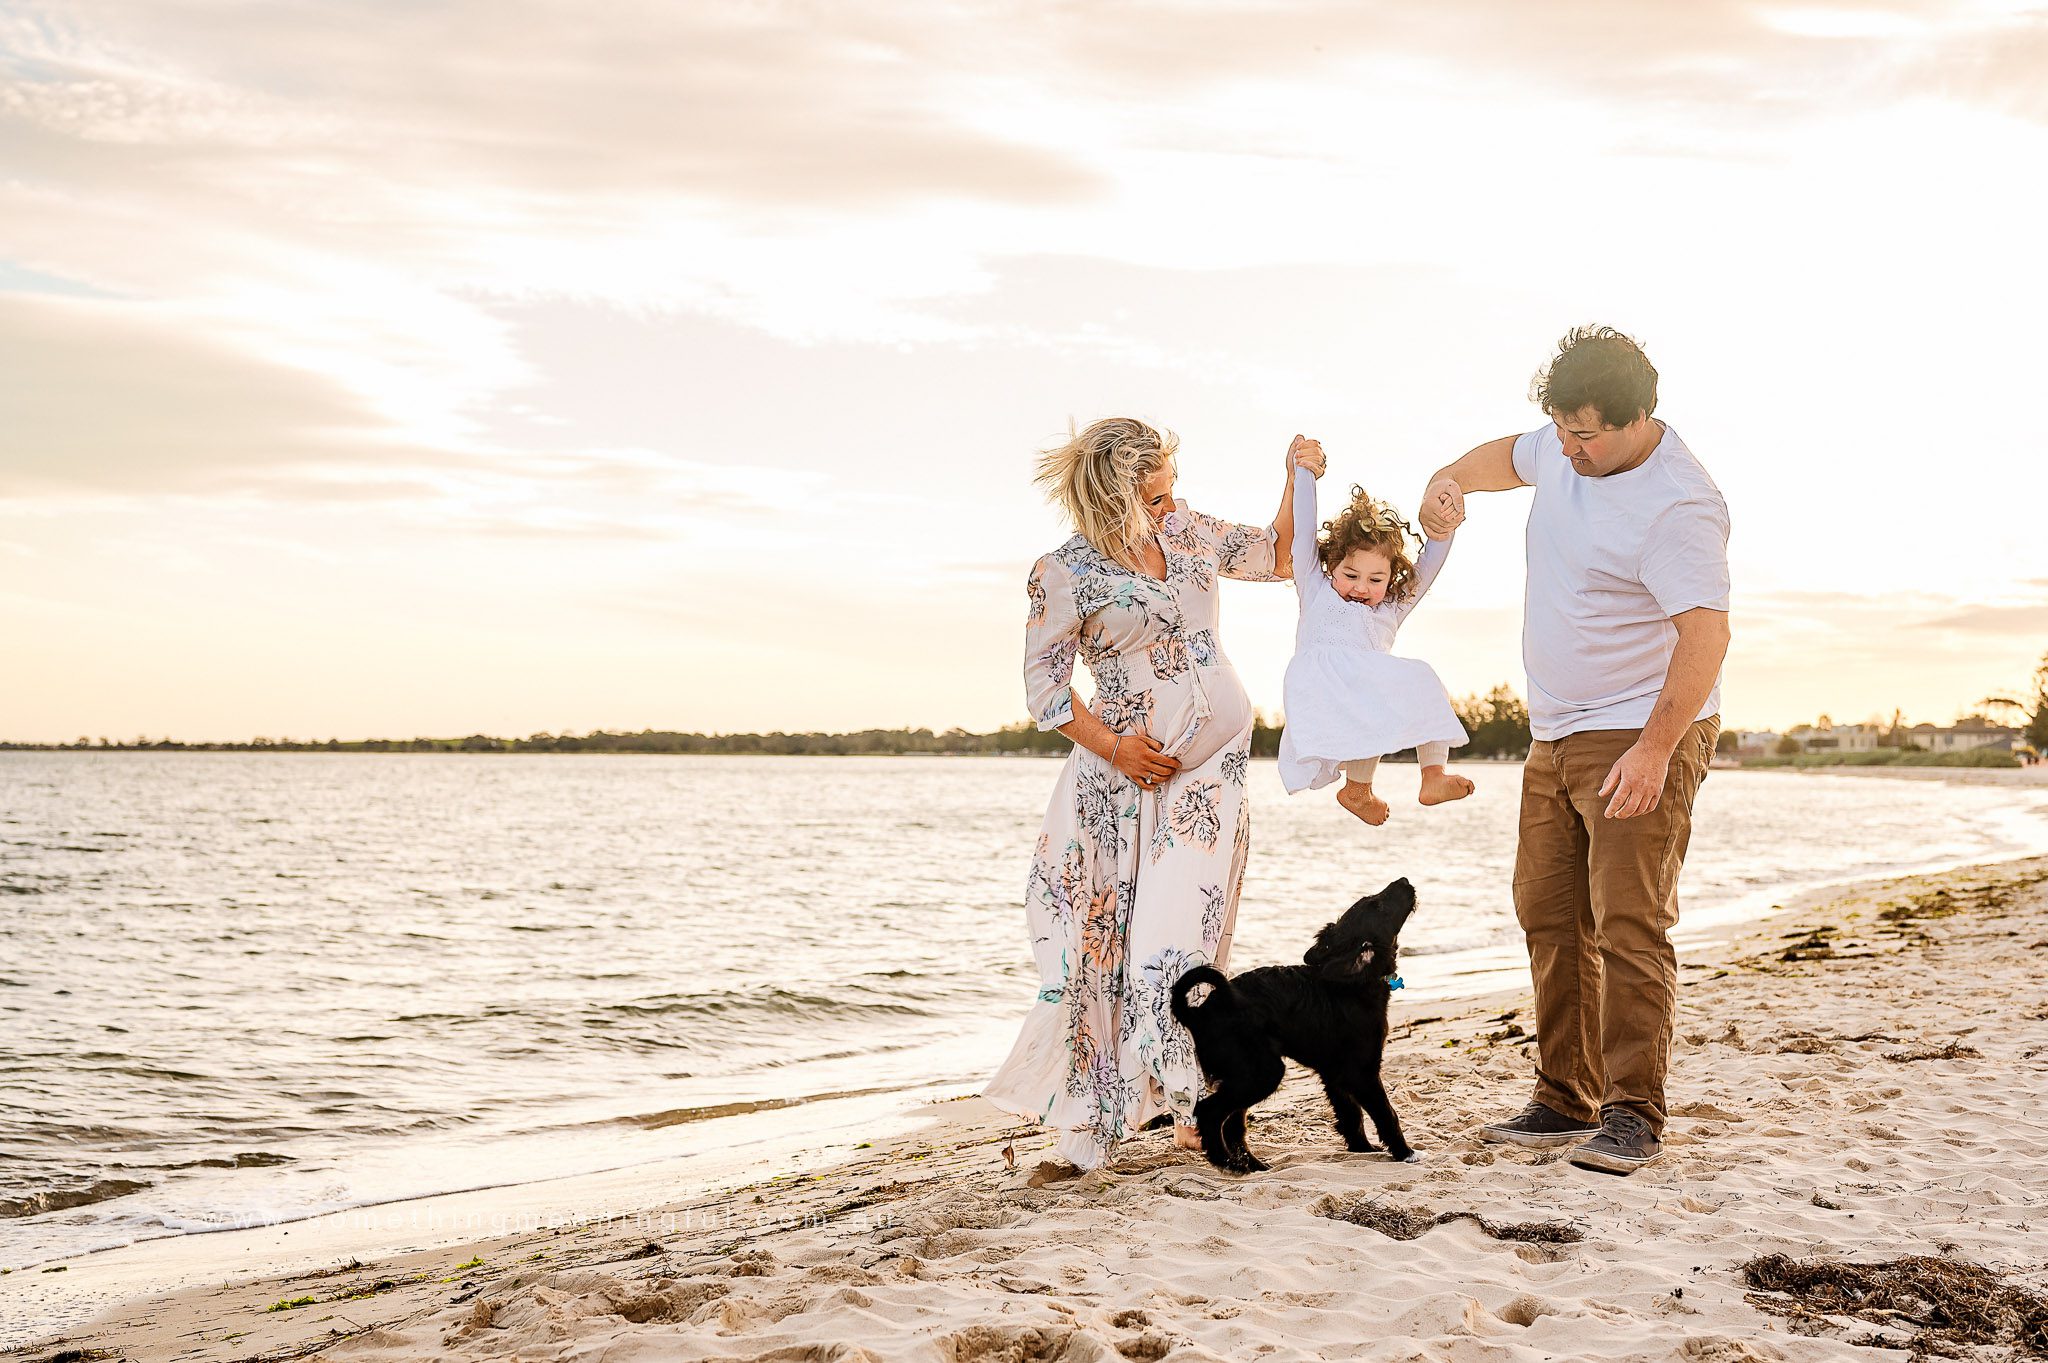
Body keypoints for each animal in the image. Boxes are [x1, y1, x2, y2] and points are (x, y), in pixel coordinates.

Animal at [1179, 880, 1417, 1170]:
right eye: (1378, 905)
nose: (1404, 881)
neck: (1355, 981)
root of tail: (1199, 1012)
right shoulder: (1362, 1073)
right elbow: (1386, 1113)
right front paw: (1404, 1152)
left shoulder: (1335, 1074)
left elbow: (1351, 1114)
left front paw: (1362, 1148)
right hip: (1261, 1071)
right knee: (1210, 1112)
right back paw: (1226, 1162)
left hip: (1247, 1074)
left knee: (1234, 1124)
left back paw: (1252, 1165)